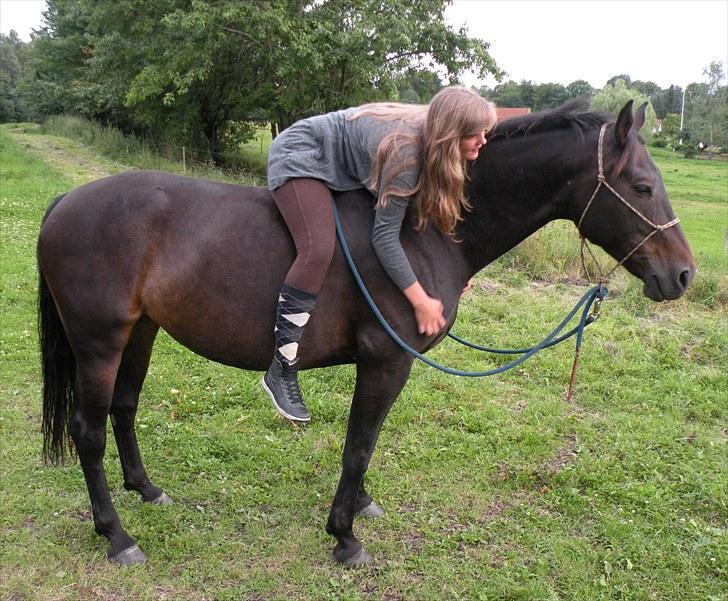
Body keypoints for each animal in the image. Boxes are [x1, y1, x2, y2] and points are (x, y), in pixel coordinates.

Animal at [38, 99, 692, 568]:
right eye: (641, 186)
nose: (683, 275)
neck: (424, 228)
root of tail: (68, 200)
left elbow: (364, 444)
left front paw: (358, 509)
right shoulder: (385, 361)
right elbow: (359, 445)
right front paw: (344, 535)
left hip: (141, 333)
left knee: (124, 409)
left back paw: (146, 490)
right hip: (99, 343)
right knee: (87, 431)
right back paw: (117, 536)